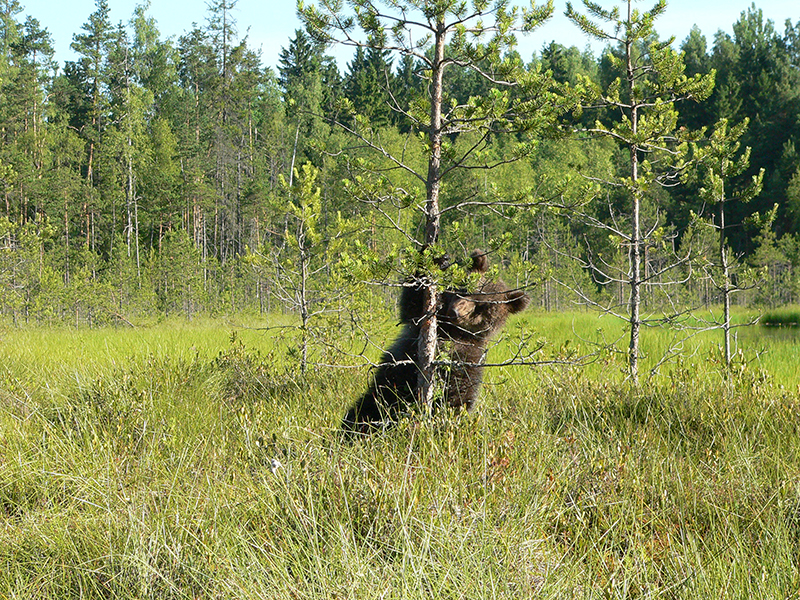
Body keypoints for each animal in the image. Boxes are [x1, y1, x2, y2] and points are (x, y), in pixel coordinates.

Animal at [340, 248, 528, 436]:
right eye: (466, 288)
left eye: (482, 307)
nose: (456, 312)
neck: (450, 329)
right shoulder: (420, 323)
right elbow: (412, 303)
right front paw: (436, 258)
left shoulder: (465, 356)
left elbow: (456, 386)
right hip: (386, 386)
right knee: (365, 410)